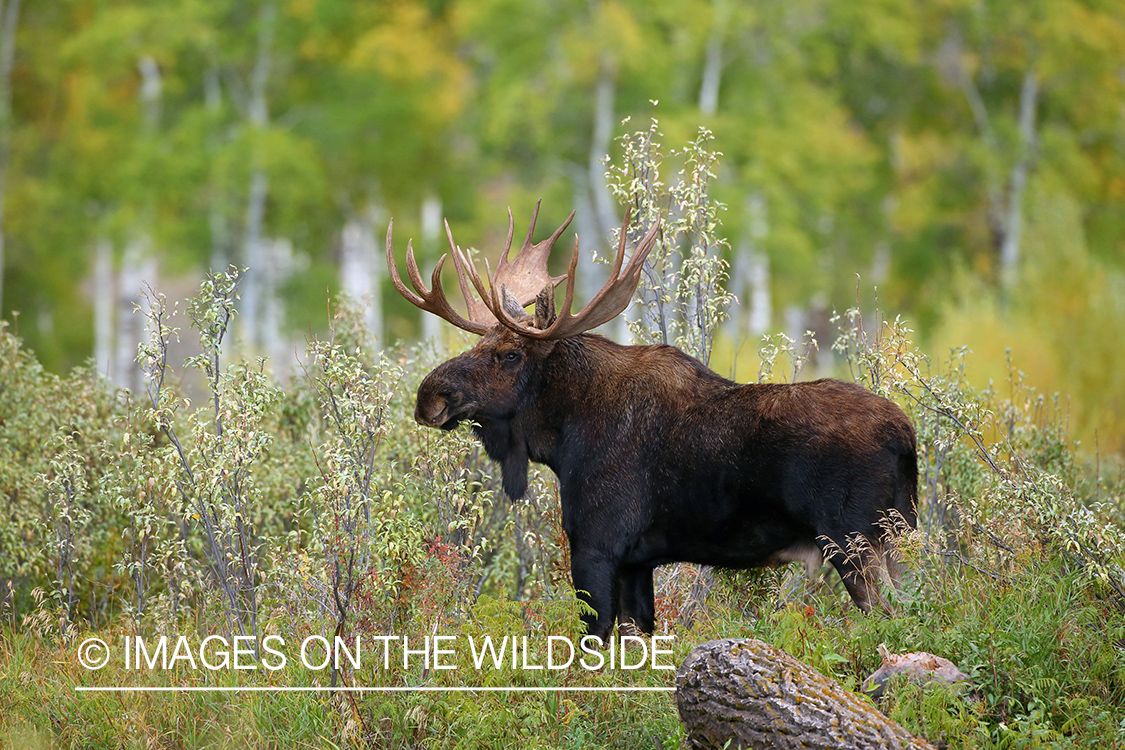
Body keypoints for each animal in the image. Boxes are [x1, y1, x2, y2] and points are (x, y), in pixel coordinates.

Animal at [384, 203, 913, 638]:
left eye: (510, 354)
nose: (428, 396)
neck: (564, 438)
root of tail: (906, 437)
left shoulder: (597, 544)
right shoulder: (638, 561)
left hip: (853, 539)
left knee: (892, 619)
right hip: (897, 538)